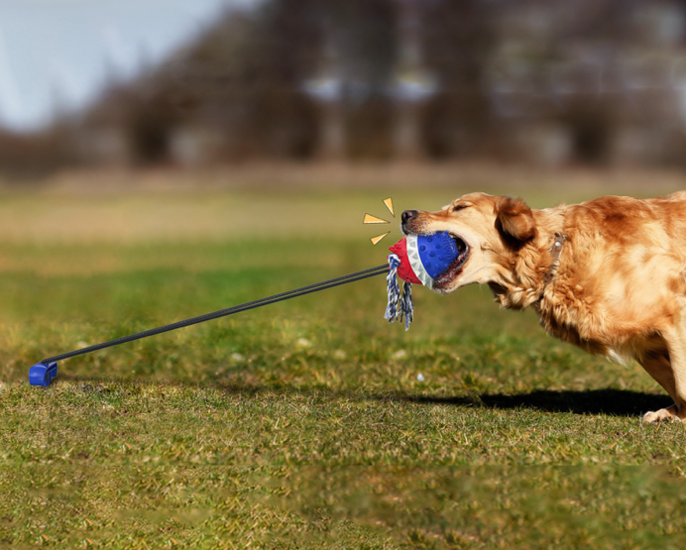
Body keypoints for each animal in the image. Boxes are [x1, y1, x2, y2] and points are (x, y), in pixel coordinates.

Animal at [400, 192, 686, 424]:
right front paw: (674, 414)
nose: (405, 214)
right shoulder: (644, 346)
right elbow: (675, 382)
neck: (557, 257)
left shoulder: (673, 313)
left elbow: (681, 381)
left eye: (460, 207)